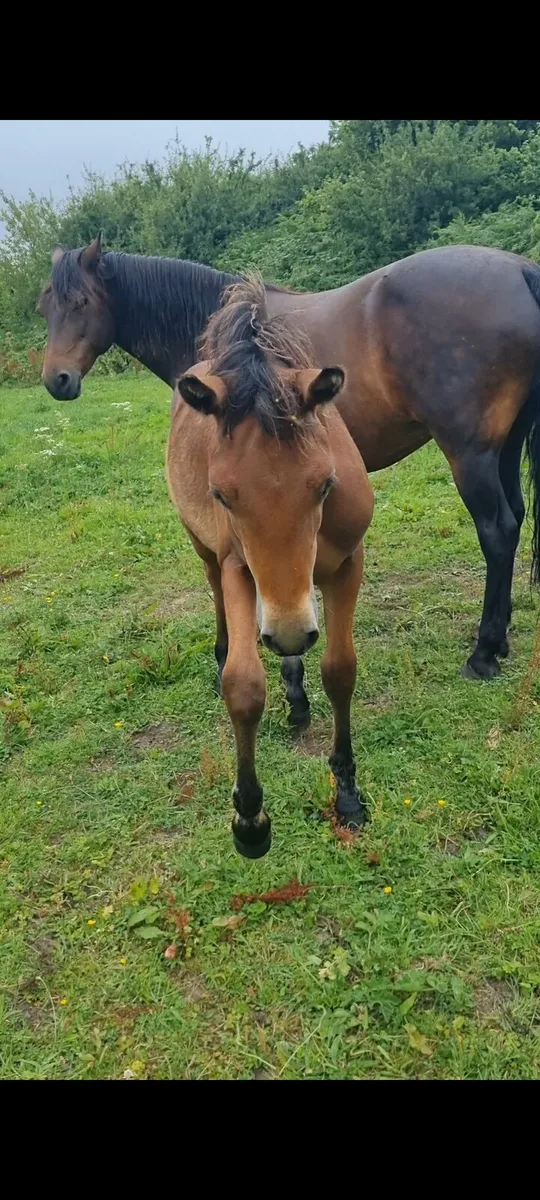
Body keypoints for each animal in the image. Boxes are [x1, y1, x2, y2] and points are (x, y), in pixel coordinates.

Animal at [39, 236, 540, 682]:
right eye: (46, 309)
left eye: (80, 302)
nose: (56, 380)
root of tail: (519, 270)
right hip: (502, 450)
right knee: (515, 518)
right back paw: (502, 638)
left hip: (470, 455)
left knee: (497, 531)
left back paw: (484, 653)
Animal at [167, 276, 373, 857]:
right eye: (221, 495)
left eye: (325, 484)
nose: (289, 632)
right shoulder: (240, 567)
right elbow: (244, 685)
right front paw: (250, 819)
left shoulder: (347, 564)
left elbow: (340, 670)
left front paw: (347, 793)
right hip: (205, 550)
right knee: (217, 595)